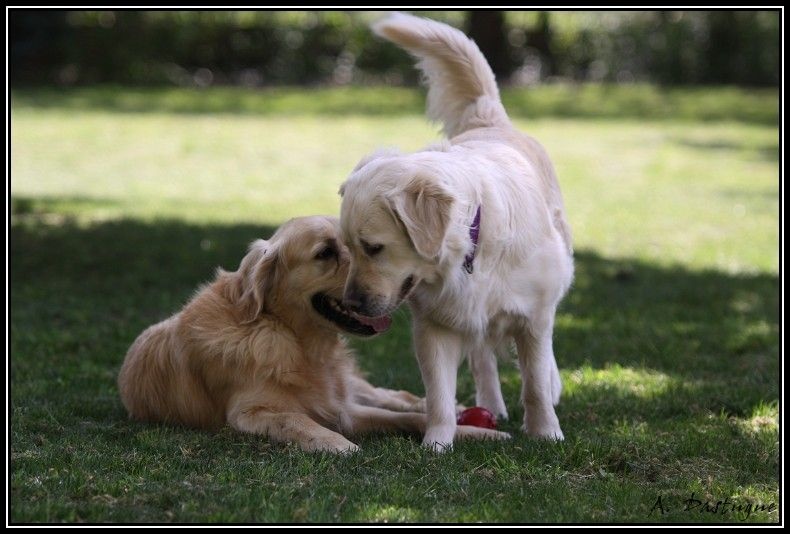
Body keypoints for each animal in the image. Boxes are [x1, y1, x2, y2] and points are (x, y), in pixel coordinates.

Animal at [119, 216, 508, 454]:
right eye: (325, 253)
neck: (292, 337)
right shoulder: (250, 412)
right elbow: (295, 418)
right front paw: (338, 444)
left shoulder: (345, 407)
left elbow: (407, 418)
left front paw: (478, 432)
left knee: (393, 395)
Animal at [340, 13, 576, 452]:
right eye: (348, 250)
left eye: (374, 248)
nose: (352, 304)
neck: (472, 244)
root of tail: (489, 120)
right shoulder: (435, 327)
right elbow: (439, 395)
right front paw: (437, 444)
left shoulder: (532, 316)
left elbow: (534, 381)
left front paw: (546, 433)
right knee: (483, 357)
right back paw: (491, 405)